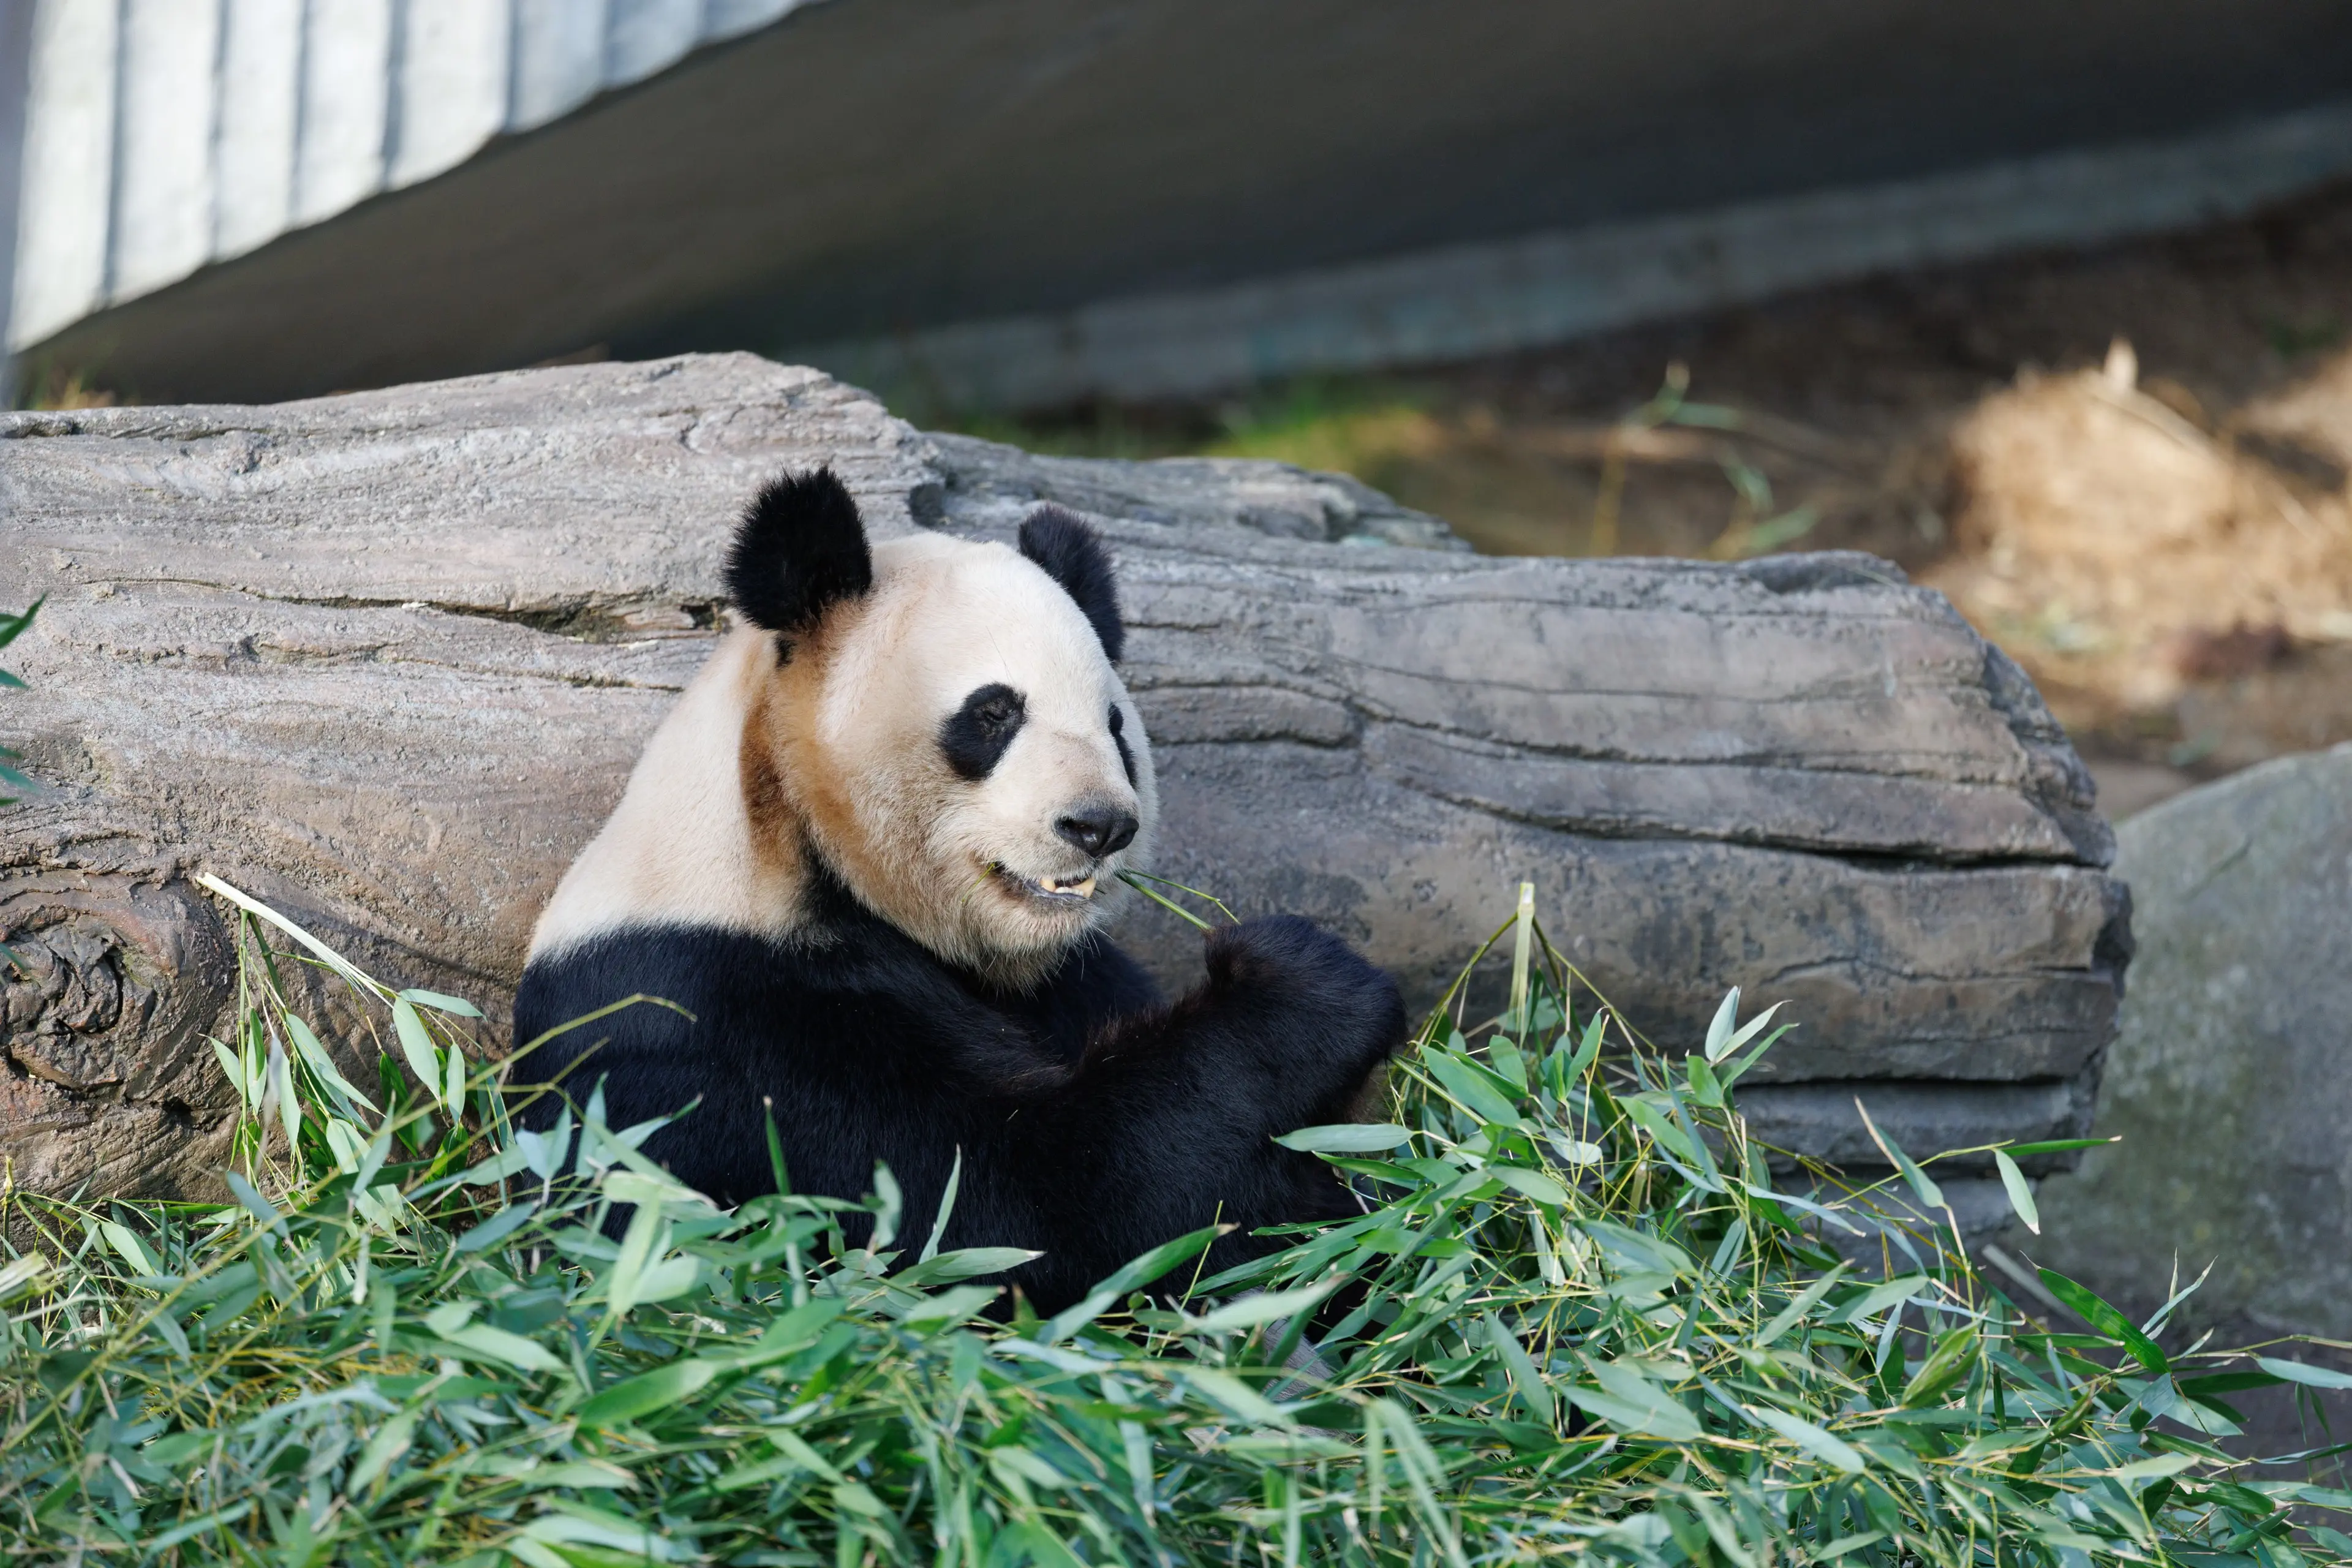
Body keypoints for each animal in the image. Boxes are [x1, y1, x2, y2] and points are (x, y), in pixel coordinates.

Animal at [512, 469, 1407, 1313]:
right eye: (993, 714)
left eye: (1115, 725)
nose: (1099, 825)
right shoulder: (719, 1022)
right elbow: (1015, 1206)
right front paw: (1295, 980)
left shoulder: (1072, 978)